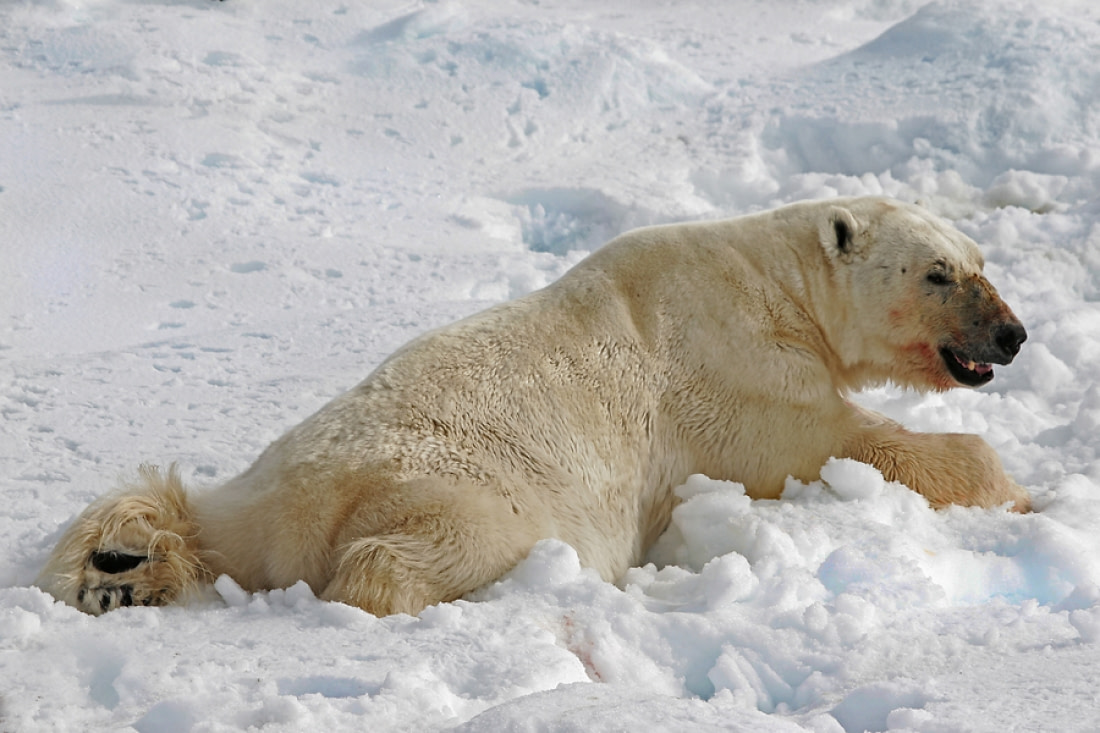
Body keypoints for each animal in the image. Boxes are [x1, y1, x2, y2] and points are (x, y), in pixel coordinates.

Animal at [36, 197, 1029, 611]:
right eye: (938, 273)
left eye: (980, 259)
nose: (1013, 334)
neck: (772, 281)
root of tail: (291, 506)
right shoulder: (734, 370)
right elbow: (836, 445)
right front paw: (1021, 493)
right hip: (460, 486)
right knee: (426, 550)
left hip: (248, 490)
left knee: (172, 507)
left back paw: (121, 570)